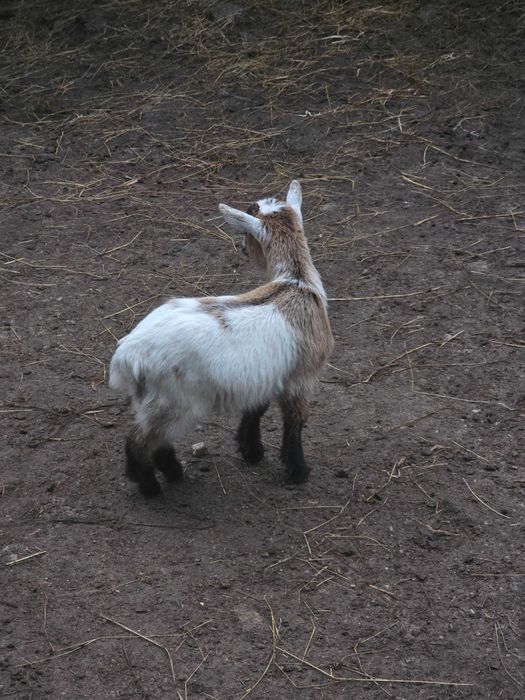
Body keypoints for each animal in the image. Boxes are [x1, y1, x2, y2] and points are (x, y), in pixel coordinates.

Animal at [109, 181, 334, 496]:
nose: (241, 248)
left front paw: (251, 451)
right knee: (140, 441)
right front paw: (298, 471)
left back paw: (173, 473)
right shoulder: (301, 378)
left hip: (153, 400)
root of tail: (127, 356)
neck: (297, 283)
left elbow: (256, 409)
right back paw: (151, 487)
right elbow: (295, 422)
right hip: (174, 401)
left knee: (154, 439)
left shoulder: (262, 375)